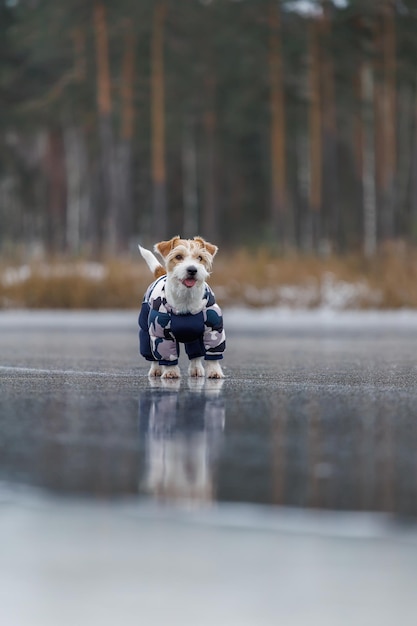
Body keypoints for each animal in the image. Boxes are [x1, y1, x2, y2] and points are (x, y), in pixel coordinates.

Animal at [138, 235, 224, 378]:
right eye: (178, 256)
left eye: (200, 257)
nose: (192, 269)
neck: (186, 297)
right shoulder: (162, 335)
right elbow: (167, 355)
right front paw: (171, 372)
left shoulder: (213, 330)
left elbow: (213, 354)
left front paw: (214, 371)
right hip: (146, 331)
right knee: (152, 355)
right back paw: (155, 370)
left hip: (194, 336)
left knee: (195, 354)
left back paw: (196, 369)